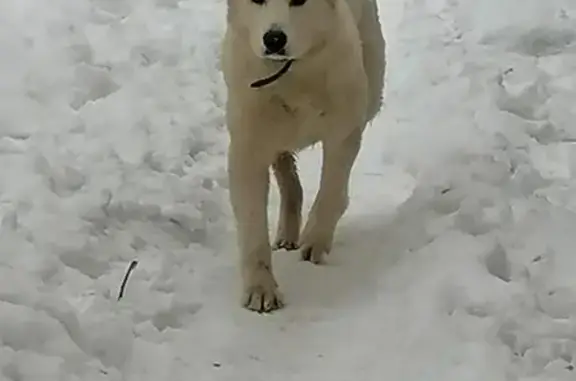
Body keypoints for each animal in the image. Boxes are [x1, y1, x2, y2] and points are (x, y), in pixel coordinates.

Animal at [223, 0, 384, 312]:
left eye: (299, 1)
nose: (274, 39)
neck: (291, 75)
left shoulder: (344, 128)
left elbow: (331, 193)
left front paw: (315, 240)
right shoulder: (247, 147)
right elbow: (252, 227)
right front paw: (261, 289)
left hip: (372, 82)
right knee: (288, 177)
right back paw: (287, 232)